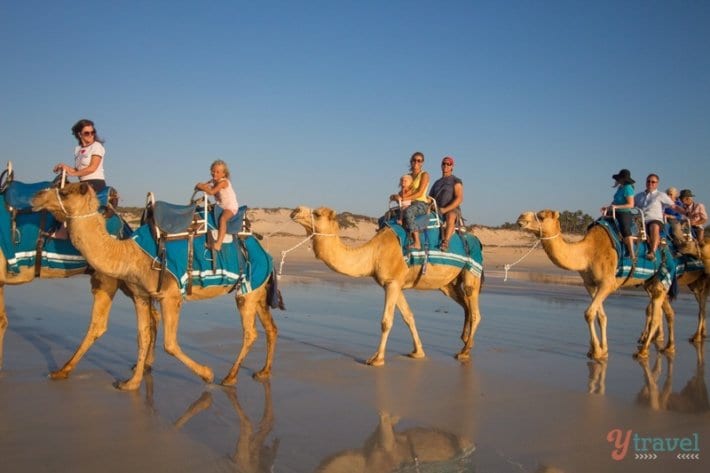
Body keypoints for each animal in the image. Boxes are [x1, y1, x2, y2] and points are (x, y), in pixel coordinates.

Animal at [32, 183, 280, 390]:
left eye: (65, 191)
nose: (36, 196)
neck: (129, 253)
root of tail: (266, 252)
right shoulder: (141, 294)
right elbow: (143, 336)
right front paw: (131, 383)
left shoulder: (170, 295)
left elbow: (169, 343)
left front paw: (207, 374)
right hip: (257, 290)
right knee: (270, 328)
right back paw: (263, 372)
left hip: (248, 288)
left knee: (250, 333)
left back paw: (229, 377)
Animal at [290, 205, 484, 364]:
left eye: (317, 213)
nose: (295, 210)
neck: (373, 254)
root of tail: (478, 242)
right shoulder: (394, 283)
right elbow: (408, 316)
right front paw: (418, 352)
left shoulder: (392, 283)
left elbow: (386, 321)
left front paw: (377, 358)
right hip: (449, 285)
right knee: (465, 305)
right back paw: (467, 341)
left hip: (471, 272)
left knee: (475, 311)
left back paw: (464, 351)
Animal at [516, 209, 710, 358]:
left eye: (541, 216)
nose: (520, 218)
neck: (587, 252)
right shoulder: (590, 284)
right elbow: (600, 315)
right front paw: (602, 350)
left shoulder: (607, 283)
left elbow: (589, 313)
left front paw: (596, 352)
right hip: (657, 282)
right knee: (668, 312)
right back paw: (669, 347)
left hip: (668, 278)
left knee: (666, 313)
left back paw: (645, 351)